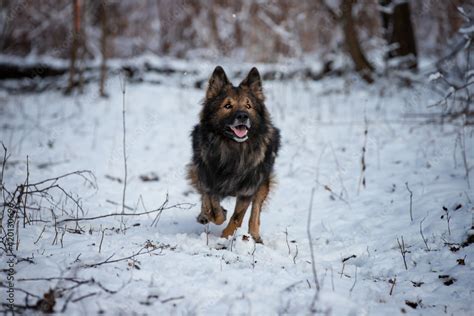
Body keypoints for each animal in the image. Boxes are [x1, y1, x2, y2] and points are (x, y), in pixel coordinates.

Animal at [187, 65, 280, 243]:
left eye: (248, 106)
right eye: (227, 106)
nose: (243, 116)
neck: (233, 149)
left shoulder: (247, 189)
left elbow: (237, 217)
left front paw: (225, 237)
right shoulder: (208, 179)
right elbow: (212, 207)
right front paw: (213, 215)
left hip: (263, 181)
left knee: (255, 210)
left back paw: (255, 236)